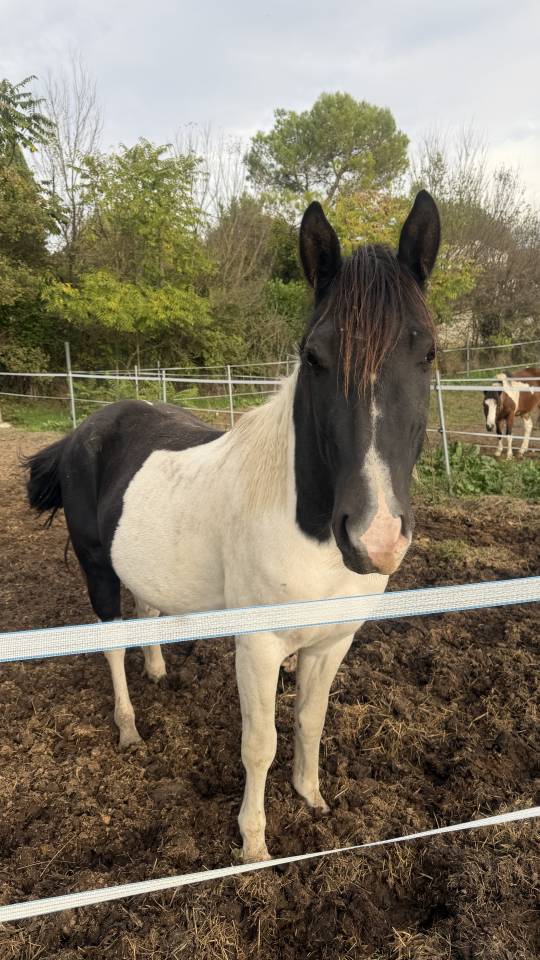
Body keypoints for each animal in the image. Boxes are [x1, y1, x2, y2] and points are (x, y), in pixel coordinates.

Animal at [24, 191, 440, 862]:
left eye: (427, 352)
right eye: (314, 357)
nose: (374, 538)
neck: (306, 530)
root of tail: (84, 430)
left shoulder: (332, 641)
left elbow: (310, 722)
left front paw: (312, 798)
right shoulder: (259, 645)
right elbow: (259, 743)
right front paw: (253, 844)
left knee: (148, 610)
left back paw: (158, 670)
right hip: (97, 569)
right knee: (112, 641)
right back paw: (129, 728)